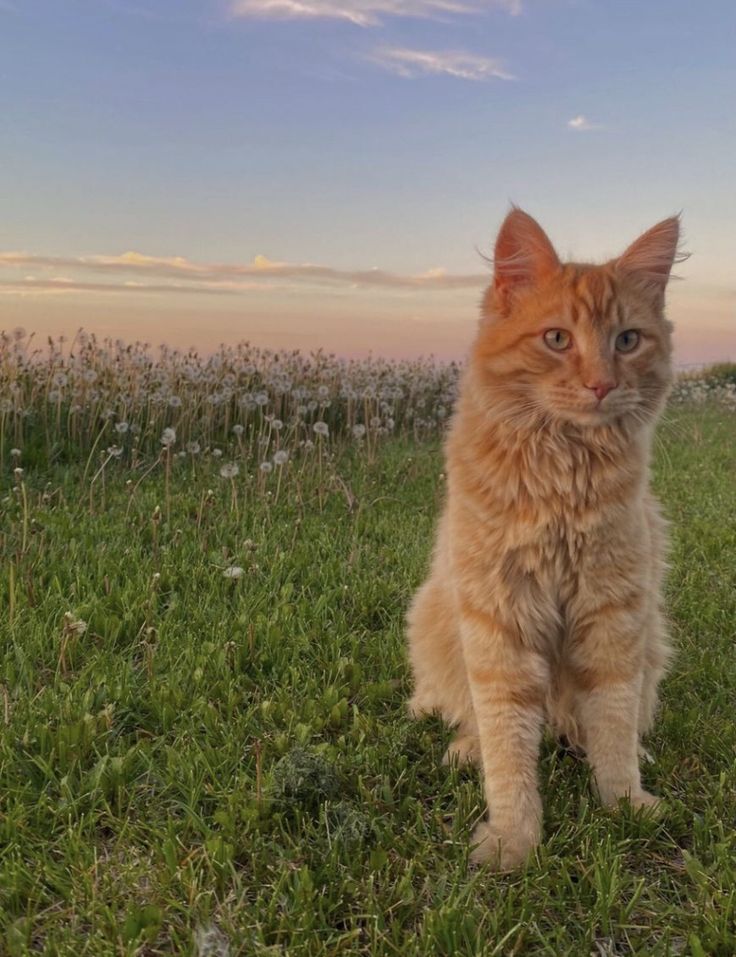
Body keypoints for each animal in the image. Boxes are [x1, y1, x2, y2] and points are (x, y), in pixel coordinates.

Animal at [406, 207, 680, 868]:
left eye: (627, 341)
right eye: (558, 339)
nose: (601, 384)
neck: (564, 474)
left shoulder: (613, 612)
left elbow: (612, 725)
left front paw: (625, 802)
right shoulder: (498, 618)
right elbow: (507, 743)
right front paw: (515, 839)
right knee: (468, 715)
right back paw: (465, 748)